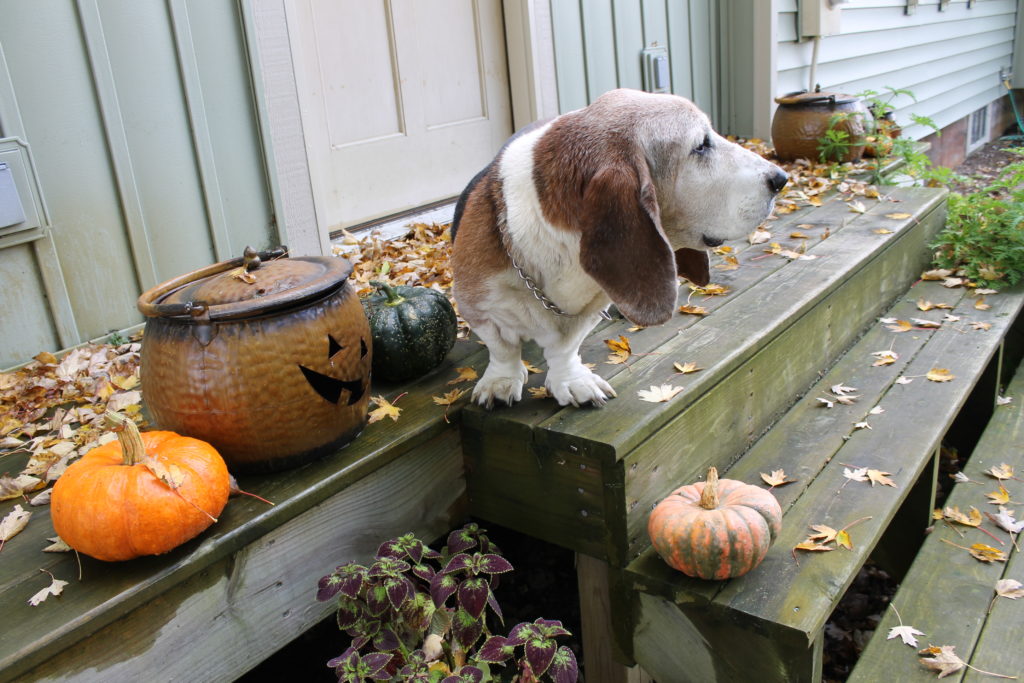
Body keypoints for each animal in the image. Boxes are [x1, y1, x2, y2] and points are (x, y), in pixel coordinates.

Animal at [448, 89, 782, 411]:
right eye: (700, 146)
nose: (781, 178)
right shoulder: (477, 308)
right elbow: (502, 348)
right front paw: (501, 381)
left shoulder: (590, 309)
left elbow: (565, 348)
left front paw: (571, 380)